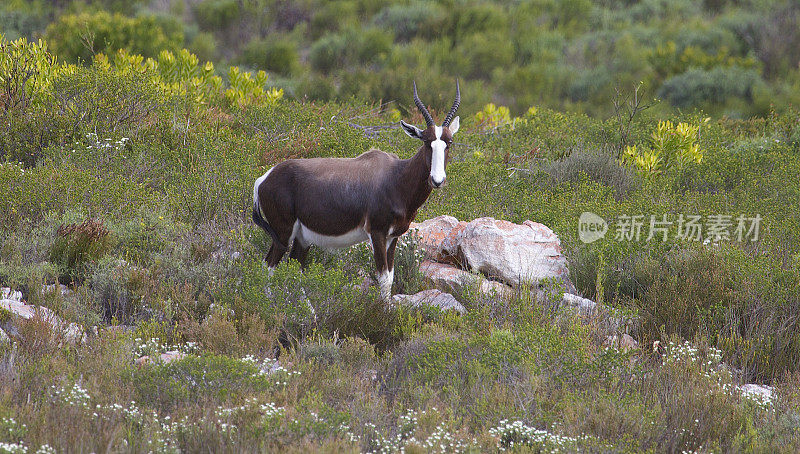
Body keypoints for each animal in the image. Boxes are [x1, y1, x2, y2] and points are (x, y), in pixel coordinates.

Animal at [253, 80, 460, 300]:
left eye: (449, 142)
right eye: (426, 141)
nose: (437, 180)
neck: (395, 176)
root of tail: (264, 179)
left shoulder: (393, 237)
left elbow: (391, 277)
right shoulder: (377, 233)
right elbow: (383, 279)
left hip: (301, 238)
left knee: (295, 271)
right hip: (282, 234)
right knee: (268, 268)